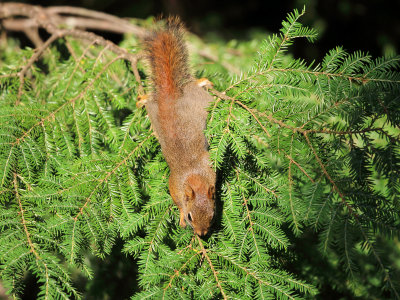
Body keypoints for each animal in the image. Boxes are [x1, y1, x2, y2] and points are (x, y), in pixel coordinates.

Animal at [141, 17, 216, 237]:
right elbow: (176, 199)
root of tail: (170, 97)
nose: (201, 234)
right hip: (199, 101)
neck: (194, 175)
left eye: (212, 216)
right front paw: (181, 215)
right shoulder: (174, 184)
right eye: (191, 217)